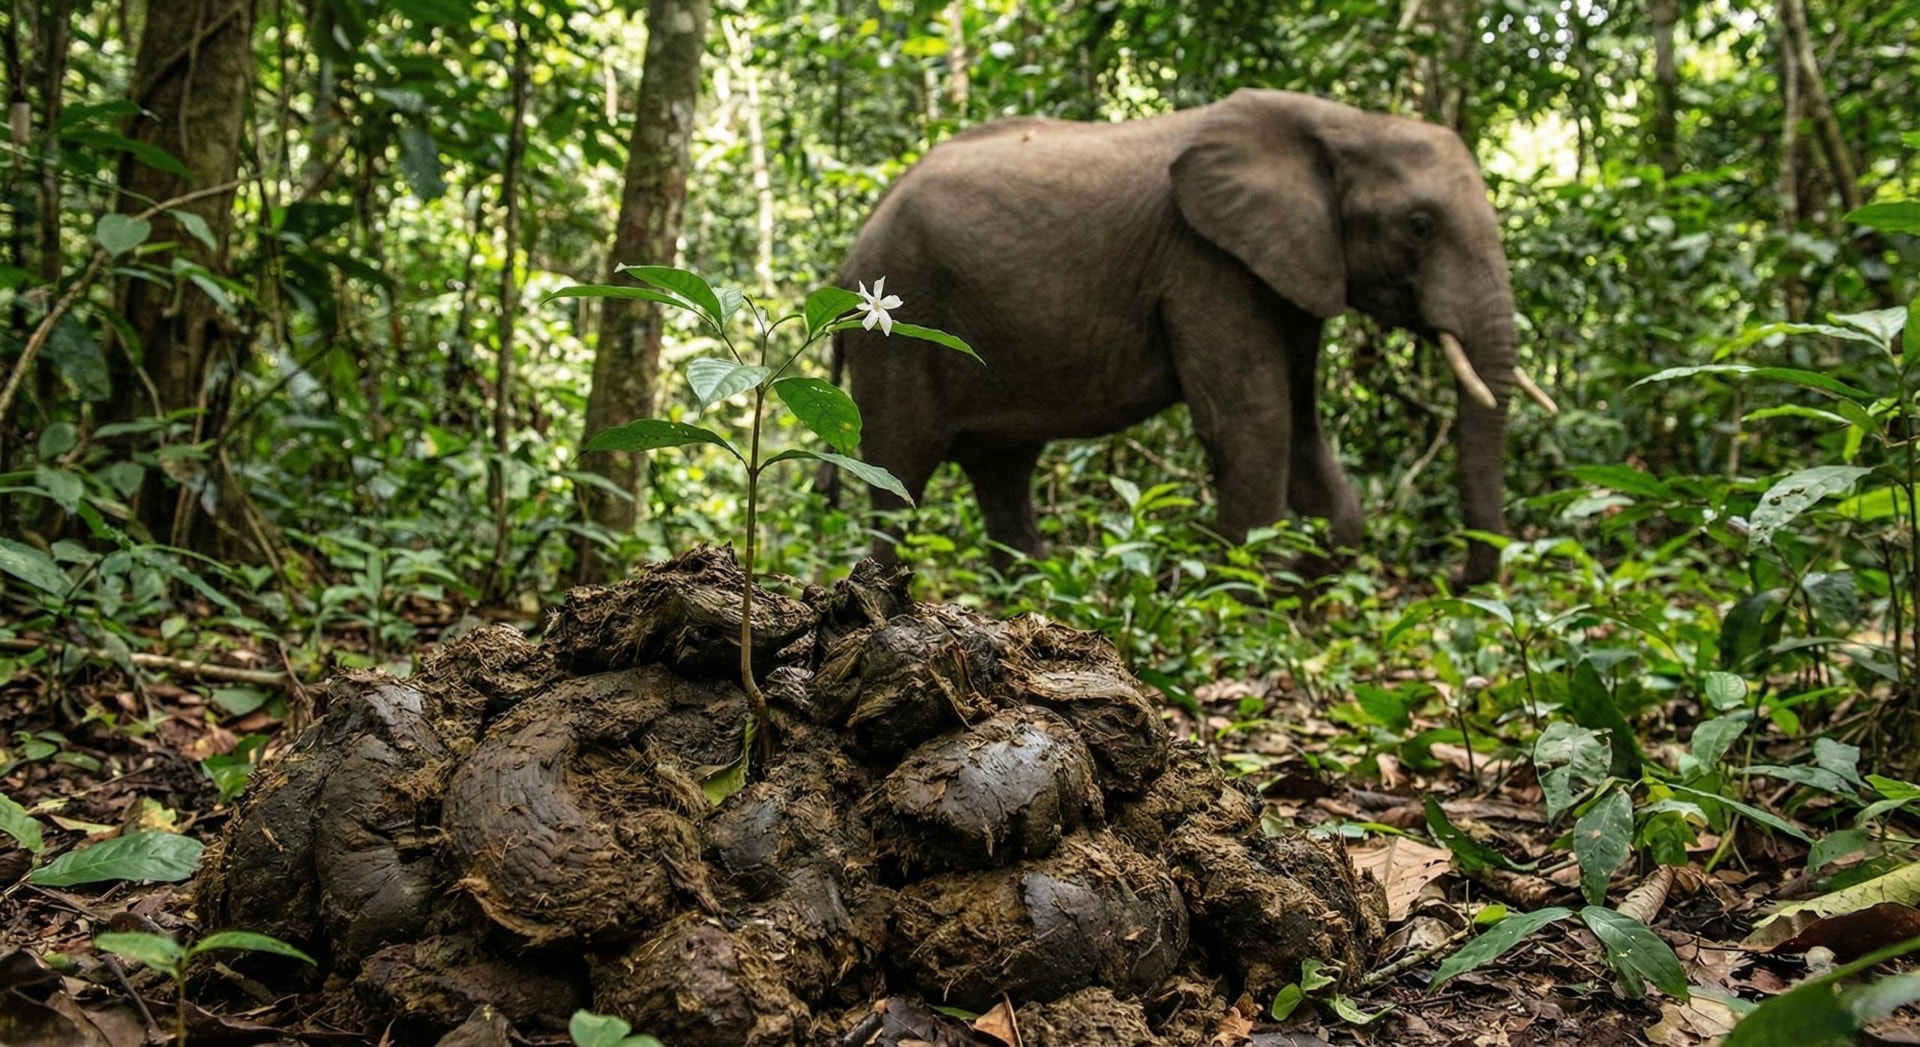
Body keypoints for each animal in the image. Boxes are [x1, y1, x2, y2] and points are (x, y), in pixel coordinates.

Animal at [834, 88, 1556, 584]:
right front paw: (1251, 590)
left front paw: (1312, 575)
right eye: (1419, 226)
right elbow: (1253, 419)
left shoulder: (1289, 270)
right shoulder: (1206, 263)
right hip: (896, 332)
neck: (1346, 122)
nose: (1454, 580)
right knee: (898, 471)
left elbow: (1300, 420)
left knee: (1003, 471)